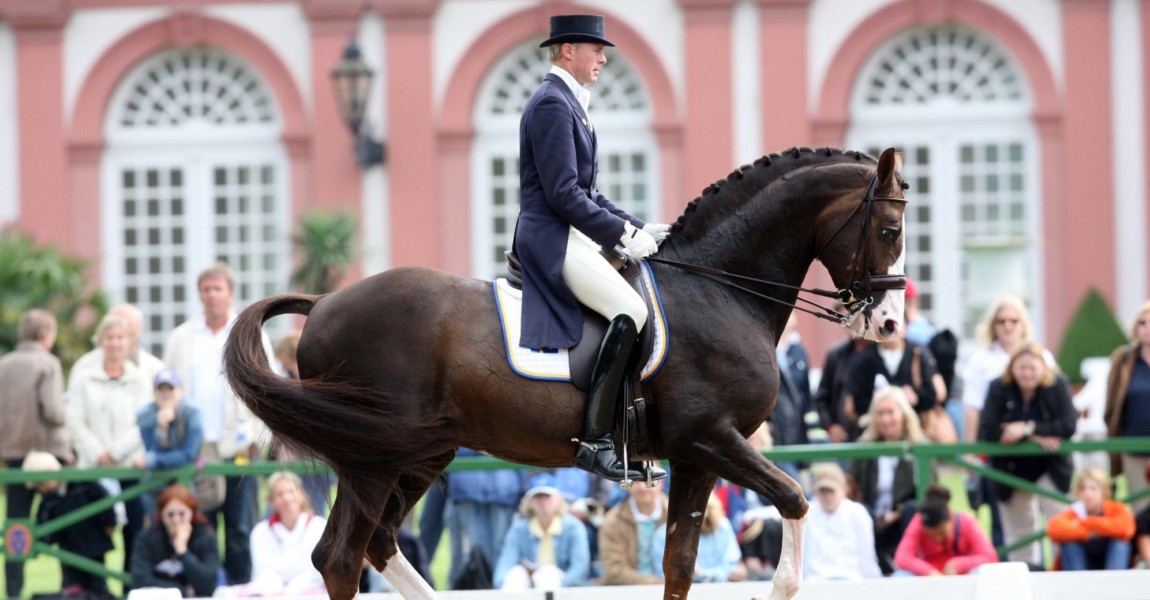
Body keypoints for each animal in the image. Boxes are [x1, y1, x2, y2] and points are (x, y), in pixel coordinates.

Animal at [221, 145, 906, 597]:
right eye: (891, 228)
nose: (890, 325)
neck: (718, 289)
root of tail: (324, 302)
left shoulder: (697, 456)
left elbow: (679, 564)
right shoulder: (711, 437)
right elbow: (794, 500)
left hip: (417, 453)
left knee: (377, 545)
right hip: (373, 460)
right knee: (342, 557)